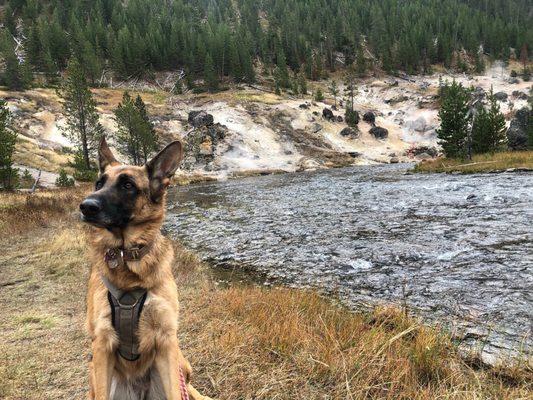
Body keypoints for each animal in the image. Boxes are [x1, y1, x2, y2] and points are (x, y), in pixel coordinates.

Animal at [80, 138, 211, 400]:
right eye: (99, 183)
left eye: (128, 185)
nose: (85, 206)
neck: (127, 259)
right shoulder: (102, 345)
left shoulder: (166, 341)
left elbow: (176, 393)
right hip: (94, 371)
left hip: (182, 363)